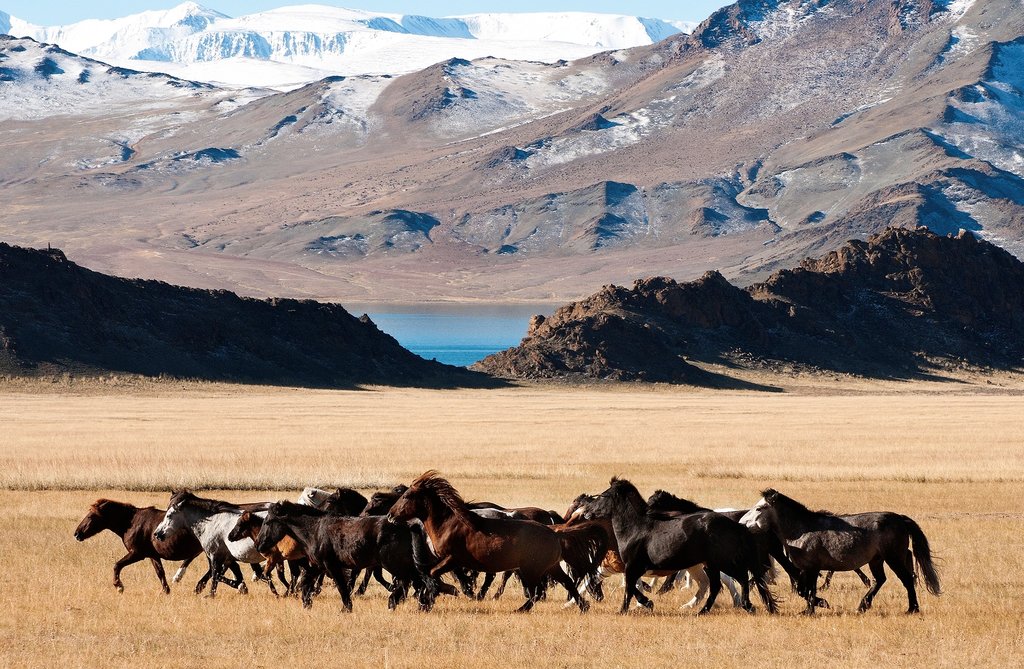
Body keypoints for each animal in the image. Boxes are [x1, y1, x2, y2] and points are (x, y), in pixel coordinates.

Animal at [254, 495, 440, 610]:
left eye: (268, 522)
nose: (258, 545)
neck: (315, 530)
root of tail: (409, 525)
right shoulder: (318, 566)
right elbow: (306, 584)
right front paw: (307, 603)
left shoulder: (331, 566)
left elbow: (342, 586)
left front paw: (346, 608)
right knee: (419, 582)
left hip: (394, 564)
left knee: (414, 582)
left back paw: (407, 603)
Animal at [387, 469, 602, 610]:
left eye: (406, 496)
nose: (390, 516)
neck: (448, 524)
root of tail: (555, 532)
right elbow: (428, 574)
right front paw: (427, 599)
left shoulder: (453, 559)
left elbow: (432, 574)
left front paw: (434, 597)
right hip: (550, 566)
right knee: (566, 583)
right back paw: (583, 606)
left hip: (531, 569)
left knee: (537, 592)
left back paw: (519, 609)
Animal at [577, 475, 774, 614]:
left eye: (603, 496)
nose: (586, 512)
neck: (636, 527)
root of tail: (736, 525)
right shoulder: (633, 568)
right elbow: (633, 586)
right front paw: (646, 602)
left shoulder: (632, 566)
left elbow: (630, 587)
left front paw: (628, 609)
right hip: (711, 564)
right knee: (717, 586)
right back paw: (702, 611)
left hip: (723, 562)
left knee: (740, 579)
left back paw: (747, 606)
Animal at [737, 487, 942, 614]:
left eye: (760, 508)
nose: (741, 523)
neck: (802, 529)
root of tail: (900, 518)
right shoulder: (805, 569)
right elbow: (803, 590)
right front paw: (815, 606)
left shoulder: (812, 568)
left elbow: (809, 590)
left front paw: (814, 607)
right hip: (876, 559)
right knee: (880, 580)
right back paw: (863, 606)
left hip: (893, 557)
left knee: (906, 579)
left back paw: (912, 608)